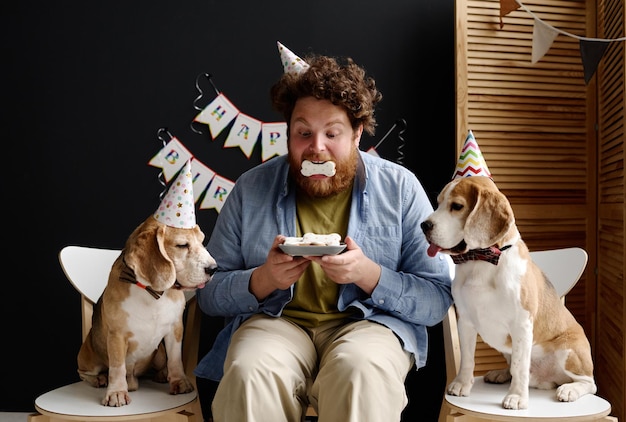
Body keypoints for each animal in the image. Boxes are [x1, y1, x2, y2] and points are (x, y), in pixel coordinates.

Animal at [76, 216, 217, 408]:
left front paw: (179, 382)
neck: (153, 292)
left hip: (159, 354)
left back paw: (162, 374)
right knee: (85, 372)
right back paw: (99, 378)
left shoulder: (175, 328)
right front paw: (117, 392)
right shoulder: (117, 335)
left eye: (202, 242)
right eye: (182, 245)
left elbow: (176, 359)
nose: (214, 268)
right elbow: (117, 367)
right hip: (88, 356)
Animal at [420, 176, 596, 410]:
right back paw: (501, 374)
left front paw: (517, 397)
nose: (424, 225)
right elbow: (467, 359)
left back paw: (570, 389)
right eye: (438, 203)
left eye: (456, 206)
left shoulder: (521, 324)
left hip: (569, 350)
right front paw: (462, 384)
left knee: (589, 383)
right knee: (513, 368)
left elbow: (520, 366)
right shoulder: (465, 321)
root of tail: (548, 380)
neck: (482, 261)